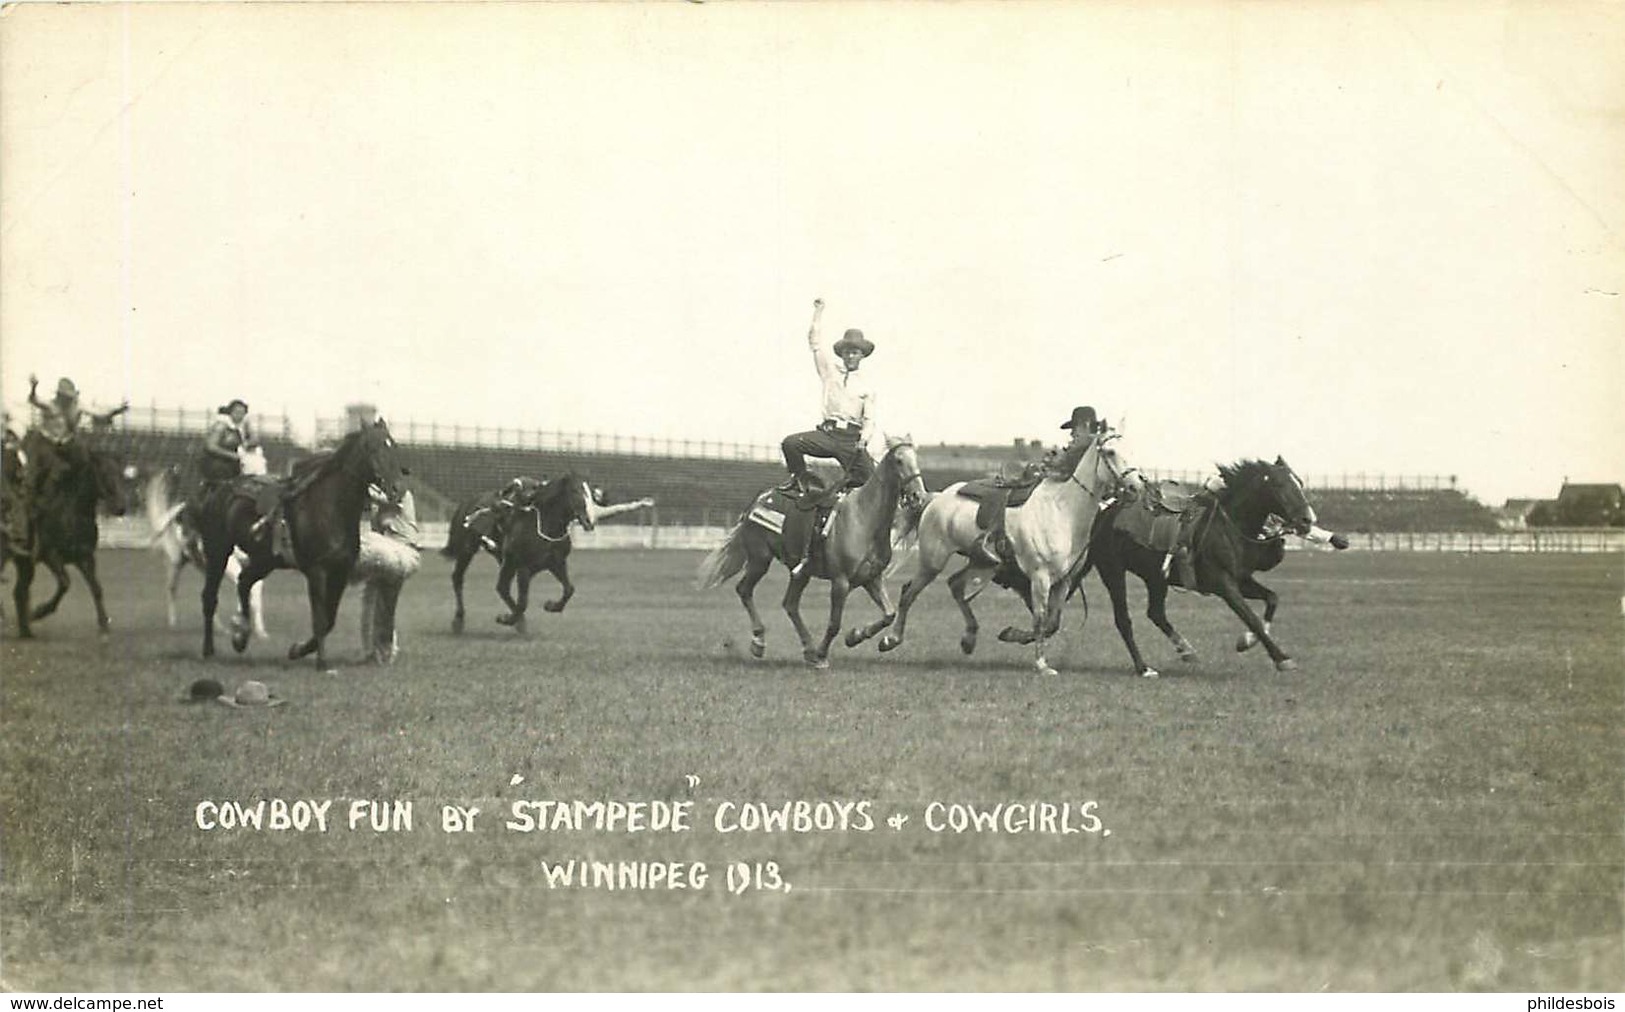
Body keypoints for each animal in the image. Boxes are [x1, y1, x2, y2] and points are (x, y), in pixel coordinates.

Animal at [7, 432, 128, 636]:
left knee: (20, 591)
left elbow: (96, 588)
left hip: (25, 564)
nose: (120, 507)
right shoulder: (51, 556)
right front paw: (39, 612)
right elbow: (65, 583)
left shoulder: (86, 557)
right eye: (104, 474)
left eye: (121, 475)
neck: (72, 515)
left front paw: (104, 624)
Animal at [151, 445, 271, 636]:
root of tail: (179, 510)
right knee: (172, 589)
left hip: (204, 565)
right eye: (244, 464)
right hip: (175, 562)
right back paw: (173, 623)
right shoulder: (230, 562)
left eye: (264, 462)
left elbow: (254, 590)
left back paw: (219, 627)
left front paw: (259, 631)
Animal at [192, 419, 409, 672]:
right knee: (210, 598)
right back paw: (209, 650)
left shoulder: (340, 572)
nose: (397, 488)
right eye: (373, 449)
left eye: (393, 446)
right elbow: (320, 618)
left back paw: (241, 635)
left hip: (265, 560)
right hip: (218, 552)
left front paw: (298, 650)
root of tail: (219, 488)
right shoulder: (316, 572)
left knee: (244, 582)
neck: (329, 508)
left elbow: (330, 619)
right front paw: (322, 663)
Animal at [884, 428, 1137, 672]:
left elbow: (1051, 624)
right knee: (909, 593)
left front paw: (1012, 634)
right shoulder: (1040, 578)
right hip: (933, 561)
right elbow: (1040, 620)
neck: (1061, 511)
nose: (1136, 486)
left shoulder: (1064, 581)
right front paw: (1042, 665)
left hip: (980, 563)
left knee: (955, 585)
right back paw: (890, 639)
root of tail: (934, 498)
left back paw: (969, 638)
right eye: (1111, 452)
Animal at [1072, 458, 1352, 682]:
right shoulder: (1224, 584)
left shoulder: (1241, 580)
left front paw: (1246, 641)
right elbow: (1250, 616)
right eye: (1280, 485)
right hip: (1113, 571)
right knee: (1124, 620)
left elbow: (1272, 599)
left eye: (1300, 483)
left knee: (1156, 613)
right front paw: (1281, 658)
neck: (1228, 526)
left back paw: (1186, 650)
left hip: (1155, 578)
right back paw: (1144, 668)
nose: (1308, 520)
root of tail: (1104, 511)